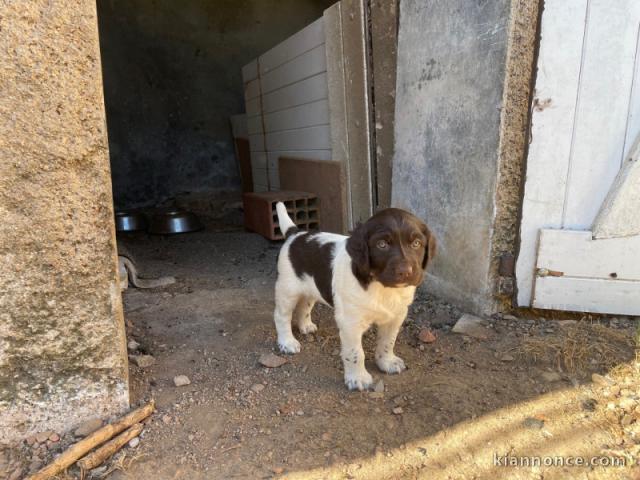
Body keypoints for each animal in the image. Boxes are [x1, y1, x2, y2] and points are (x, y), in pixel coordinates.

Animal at [272, 202, 432, 390]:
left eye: (416, 243)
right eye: (382, 244)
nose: (406, 272)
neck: (382, 286)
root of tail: (295, 233)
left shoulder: (396, 315)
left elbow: (388, 341)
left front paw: (387, 362)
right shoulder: (350, 322)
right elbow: (356, 353)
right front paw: (358, 378)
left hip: (310, 286)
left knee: (305, 305)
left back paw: (305, 326)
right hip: (287, 289)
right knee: (281, 316)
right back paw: (287, 342)